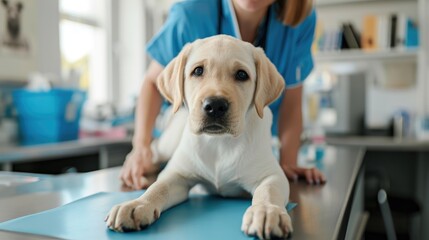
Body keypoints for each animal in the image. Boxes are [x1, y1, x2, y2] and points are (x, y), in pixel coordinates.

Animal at [105, 34, 290, 239]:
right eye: (198, 71)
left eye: (242, 75)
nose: (215, 105)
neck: (219, 142)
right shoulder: (176, 174)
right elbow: (158, 188)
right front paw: (137, 204)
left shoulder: (271, 175)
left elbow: (268, 191)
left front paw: (266, 211)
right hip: (169, 143)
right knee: (153, 150)